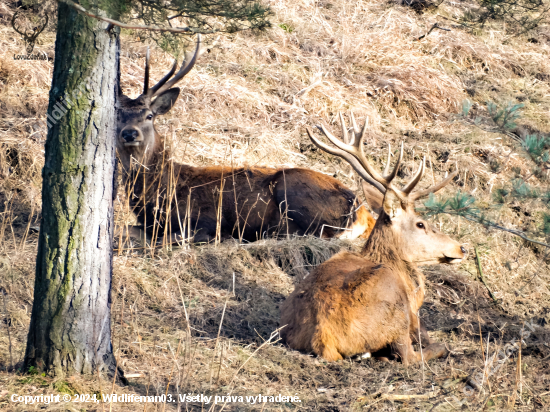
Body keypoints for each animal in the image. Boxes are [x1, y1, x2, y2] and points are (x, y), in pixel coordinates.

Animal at [116, 37, 380, 243]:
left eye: (149, 115)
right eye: (117, 114)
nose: (129, 133)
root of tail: (363, 211)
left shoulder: (202, 223)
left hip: (293, 190)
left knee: (318, 234)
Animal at [282, 115, 468, 364]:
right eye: (420, 224)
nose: (461, 248)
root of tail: (323, 338)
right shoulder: (413, 315)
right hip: (396, 315)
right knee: (409, 356)